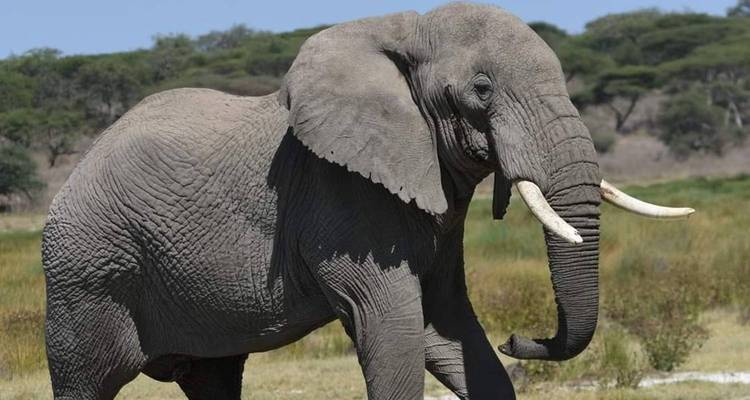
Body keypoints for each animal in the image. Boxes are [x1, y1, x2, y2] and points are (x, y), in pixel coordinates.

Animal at [42, 3, 694, 399]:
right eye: (481, 89)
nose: (520, 337)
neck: (405, 28)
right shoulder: (340, 202)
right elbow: (391, 325)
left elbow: (448, 328)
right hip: (86, 275)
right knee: (86, 382)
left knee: (213, 378)